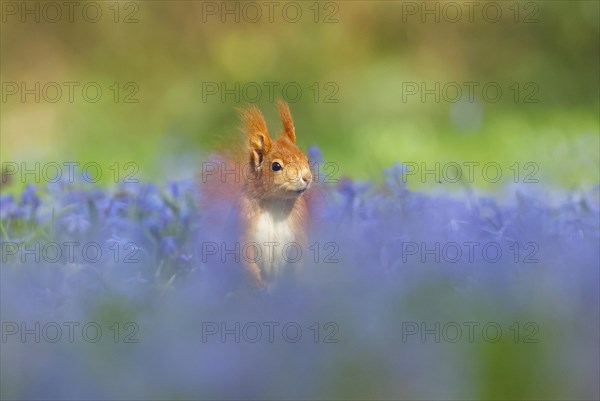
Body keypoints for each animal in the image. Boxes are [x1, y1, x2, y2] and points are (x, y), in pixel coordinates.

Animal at [202, 100, 314, 288]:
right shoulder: (243, 221)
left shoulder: (300, 225)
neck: (276, 203)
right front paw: (256, 283)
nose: (307, 178)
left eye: (306, 159)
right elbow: (243, 255)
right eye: (276, 166)